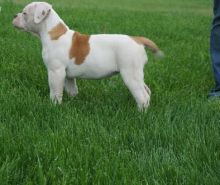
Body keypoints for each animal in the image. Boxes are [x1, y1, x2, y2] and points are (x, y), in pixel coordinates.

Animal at [12, 1, 163, 110]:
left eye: (24, 13)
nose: (14, 15)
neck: (53, 33)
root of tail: (137, 39)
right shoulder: (67, 76)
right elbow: (72, 90)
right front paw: (72, 101)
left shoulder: (56, 72)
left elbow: (55, 92)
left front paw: (54, 106)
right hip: (136, 74)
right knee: (147, 91)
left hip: (130, 74)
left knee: (142, 95)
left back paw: (140, 113)